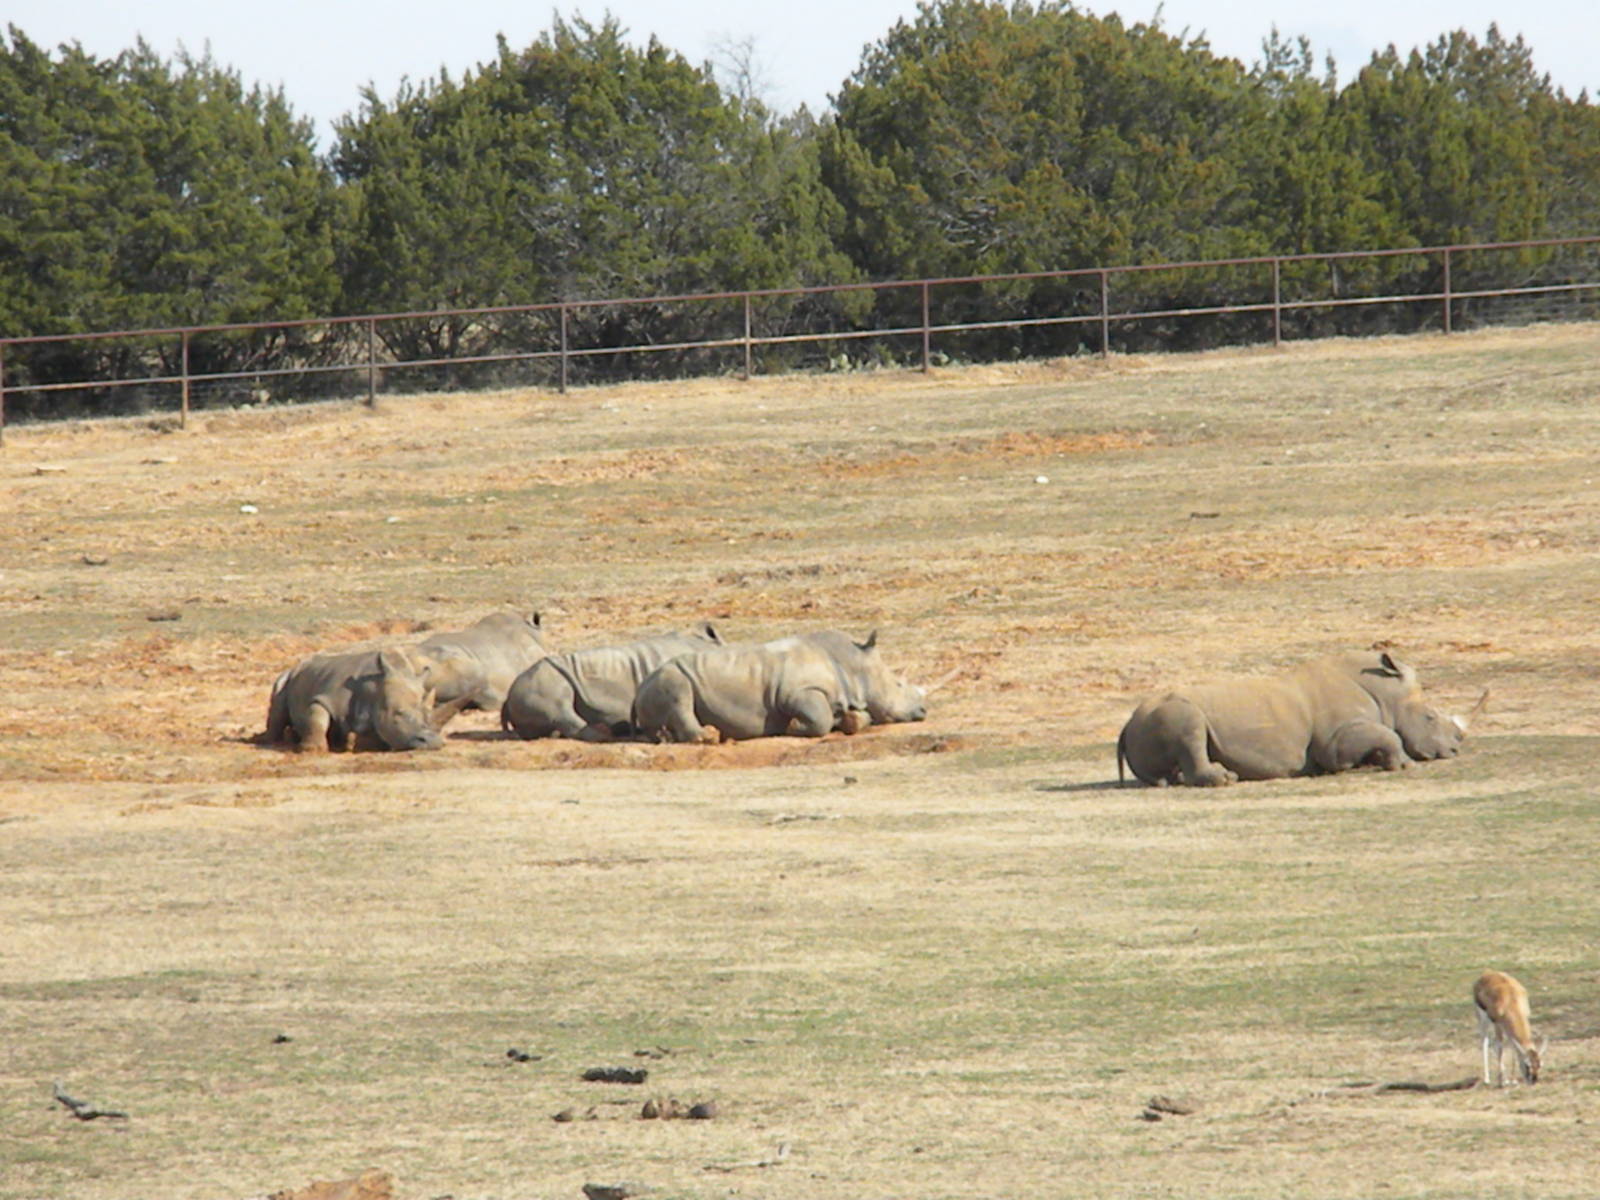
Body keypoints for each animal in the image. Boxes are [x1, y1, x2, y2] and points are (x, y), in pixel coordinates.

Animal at [266, 645, 474, 752]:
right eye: (398, 714)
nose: (432, 742)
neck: (375, 691)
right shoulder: (326, 696)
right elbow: (317, 715)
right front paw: (312, 749)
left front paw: (350, 742)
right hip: (288, 675)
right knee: (278, 704)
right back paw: (271, 741)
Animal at [631, 629, 927, 743]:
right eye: (899, 684)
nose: (924, 710)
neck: (851, 662)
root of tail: (637, 692)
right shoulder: (796, 693)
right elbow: (818, 719)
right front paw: (794, 727)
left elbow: (856, 717)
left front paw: (849, 721)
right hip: (666, 676)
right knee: (679, 692)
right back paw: (710, 737)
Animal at [1116, 650, 1476, 786]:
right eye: (1430, 717)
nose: (1455, 750)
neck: (1385, 693)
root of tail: (1126, 724)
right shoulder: (1335, 739)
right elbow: (1388, 736)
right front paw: (1403, 765)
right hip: (1171, 711)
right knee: (1189, 725)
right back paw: (1226, 779)